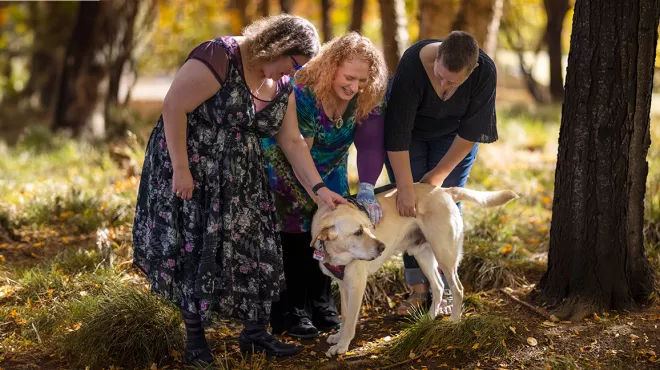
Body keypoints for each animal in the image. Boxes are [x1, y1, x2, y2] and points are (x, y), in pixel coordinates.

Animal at [310, 184, 520, 354]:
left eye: (370, 227)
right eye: (358, 232)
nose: (382, 247)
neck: (336, 252)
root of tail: (444, 190)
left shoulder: (356, 285)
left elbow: (351, 320)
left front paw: (342, 346)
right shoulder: (343, 284)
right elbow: (345, 315)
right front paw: (338, 337)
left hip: (445, 254)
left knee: (457, 288)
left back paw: (454, 321)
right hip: (423, 255)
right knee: (437, 286)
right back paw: (428, 318)